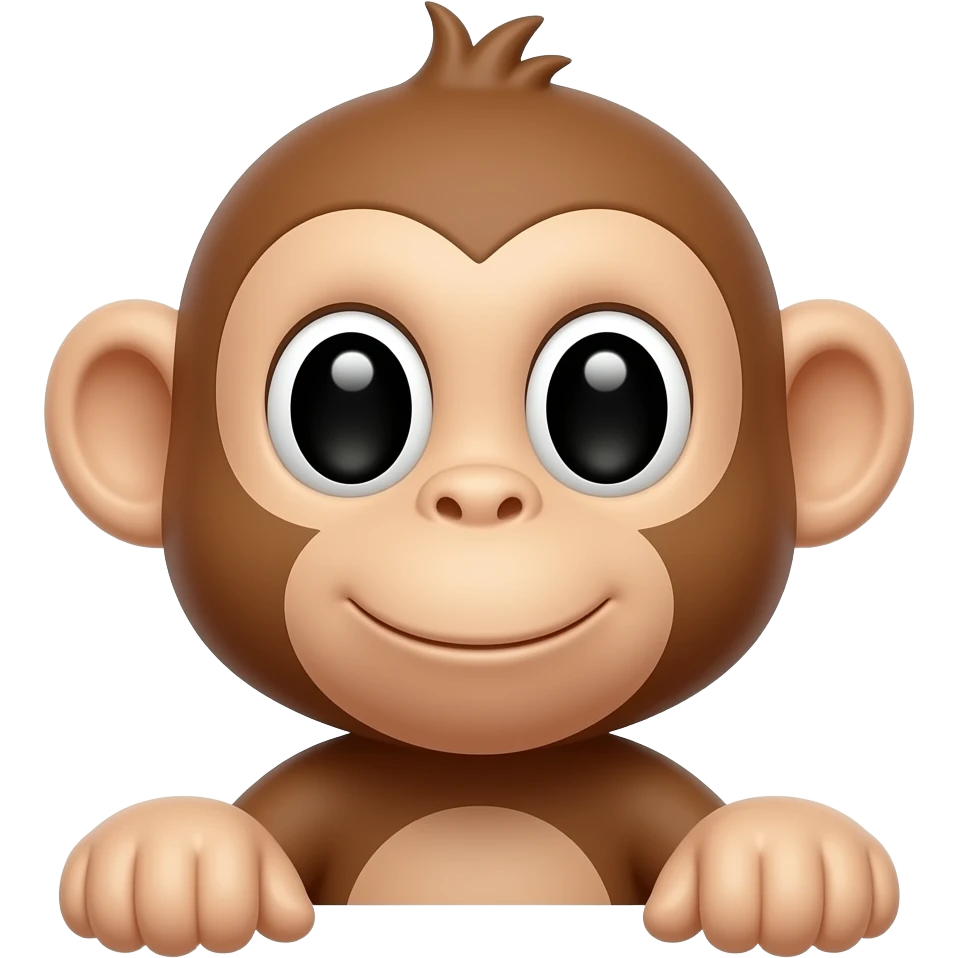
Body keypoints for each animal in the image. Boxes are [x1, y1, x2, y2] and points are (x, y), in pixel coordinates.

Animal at [46, 4, 912, 956]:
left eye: (613, 395)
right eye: (344, 395)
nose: (480, 499)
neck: (479, 789)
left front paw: (777, 858)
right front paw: (180, 858)